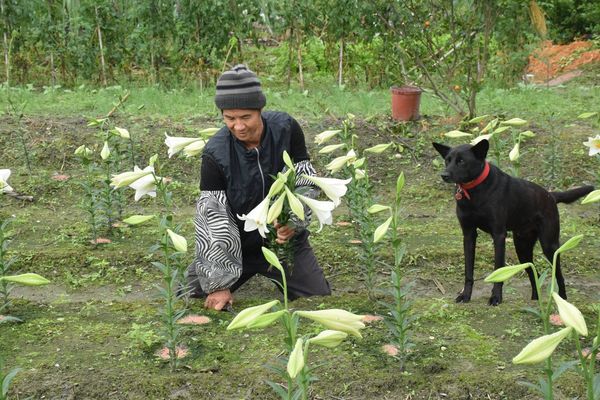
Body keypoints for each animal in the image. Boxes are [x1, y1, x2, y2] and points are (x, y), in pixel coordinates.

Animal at [434, 139, 592, 304]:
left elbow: (498, 269)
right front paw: (465, 295)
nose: (444, 175)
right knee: (534, 272)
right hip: (522, 248)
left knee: (559, 275)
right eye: (447, 160)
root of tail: (551, 196)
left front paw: (496, 297)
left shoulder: (498, 235)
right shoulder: (468, 234)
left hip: (549, 245)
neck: (475, 190)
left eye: (461, 161)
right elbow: (468, 271)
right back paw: (535, 299)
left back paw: (562, 300)